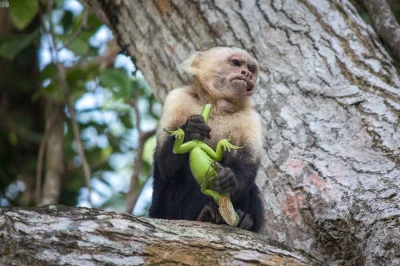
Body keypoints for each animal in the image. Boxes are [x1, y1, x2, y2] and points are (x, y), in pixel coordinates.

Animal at [148, 46, 264, 233]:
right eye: (236, 63)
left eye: (251, 69)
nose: (246, 73)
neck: (217, 105)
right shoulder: (178, 98)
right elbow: (165, 164)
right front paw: (191, 130)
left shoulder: (251, 117)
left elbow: (247, 163)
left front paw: (230, 180)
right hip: (165, 210)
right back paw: (206, 214)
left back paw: (244, 220)